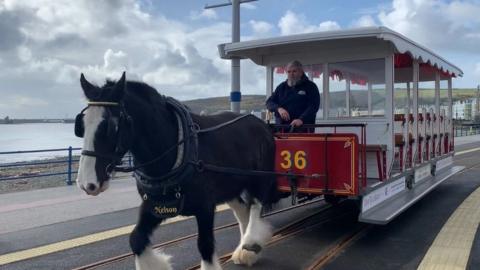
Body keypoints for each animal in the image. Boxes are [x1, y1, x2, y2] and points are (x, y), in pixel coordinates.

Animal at [76, 73, 280, 268]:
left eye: (110, 127)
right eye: (81, 126)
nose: (87, 184)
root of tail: (260, 123)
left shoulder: (205, 207)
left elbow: (205, 245)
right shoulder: (153, 206)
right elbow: (136, 239)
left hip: (259, 180)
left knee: (255, 207)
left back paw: (250, 245)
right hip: (230, 187)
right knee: (242, 212)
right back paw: (244, 250)